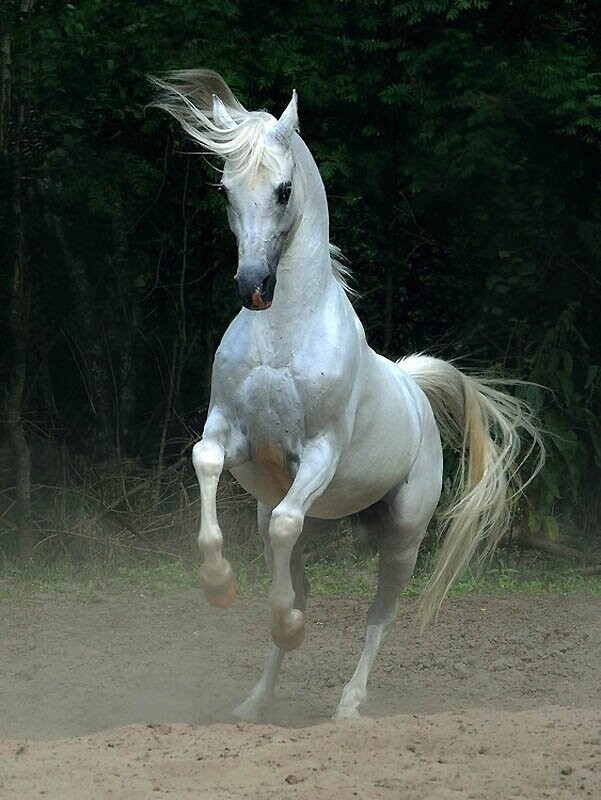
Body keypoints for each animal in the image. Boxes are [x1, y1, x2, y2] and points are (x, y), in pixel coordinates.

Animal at [151, 72, 544, 720]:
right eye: (226, 189)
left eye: (283, 189)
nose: (252, 286)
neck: (284, 333)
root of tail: (413, 388)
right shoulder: (229, 432)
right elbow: (207, 464)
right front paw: (220, 586)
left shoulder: (319, 453)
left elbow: (290, 534)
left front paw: (287, 625)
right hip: (305, 516)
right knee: (297, 570)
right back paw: (255, 702)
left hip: (403, 538)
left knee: (378, 615)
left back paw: (348, 706)